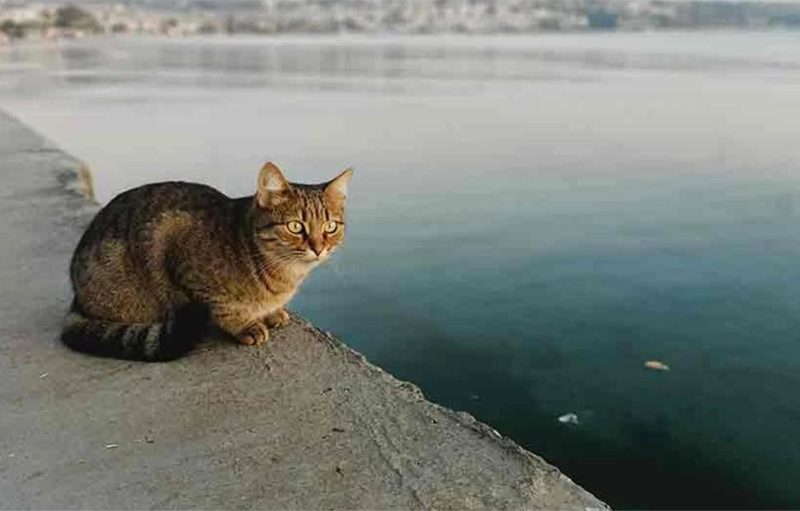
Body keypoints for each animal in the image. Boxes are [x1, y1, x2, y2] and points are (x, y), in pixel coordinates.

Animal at [60, 163, 354, 360]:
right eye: (295, 226)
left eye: (330, 226)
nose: (319, 248)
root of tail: (76, 298)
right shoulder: (174, 248)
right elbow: (224, 309)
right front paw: (245, 325)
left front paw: (272, 313)